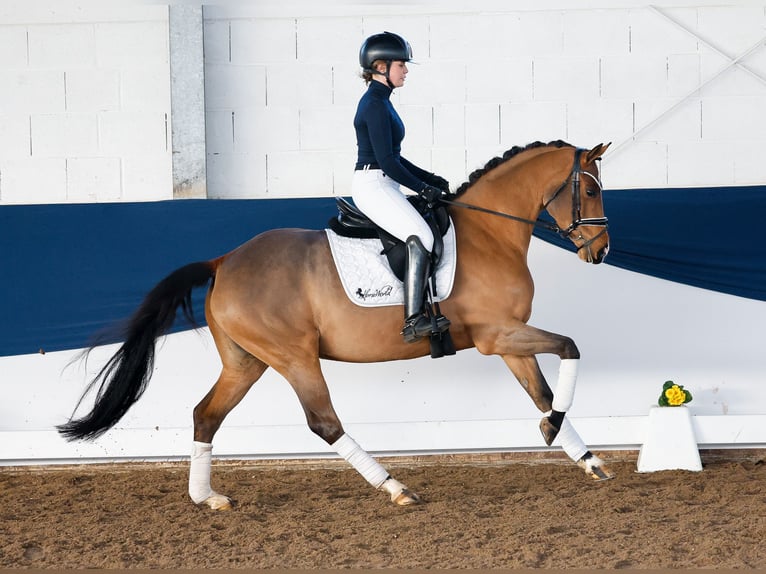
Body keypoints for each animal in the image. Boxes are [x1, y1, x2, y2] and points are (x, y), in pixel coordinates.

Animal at [57, 140, 616, 512]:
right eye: (589, 189)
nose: (602, 250)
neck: (489, 233)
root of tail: (224, 261)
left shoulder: (506, 339)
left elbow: (543, 391)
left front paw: (583, 455)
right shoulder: (495, 336)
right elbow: (571, 348)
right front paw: (555, 431)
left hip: (247, 361)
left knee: (205, 415)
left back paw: (207, 498)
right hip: (294, 356)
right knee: (323, 422)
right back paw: (395, 488)